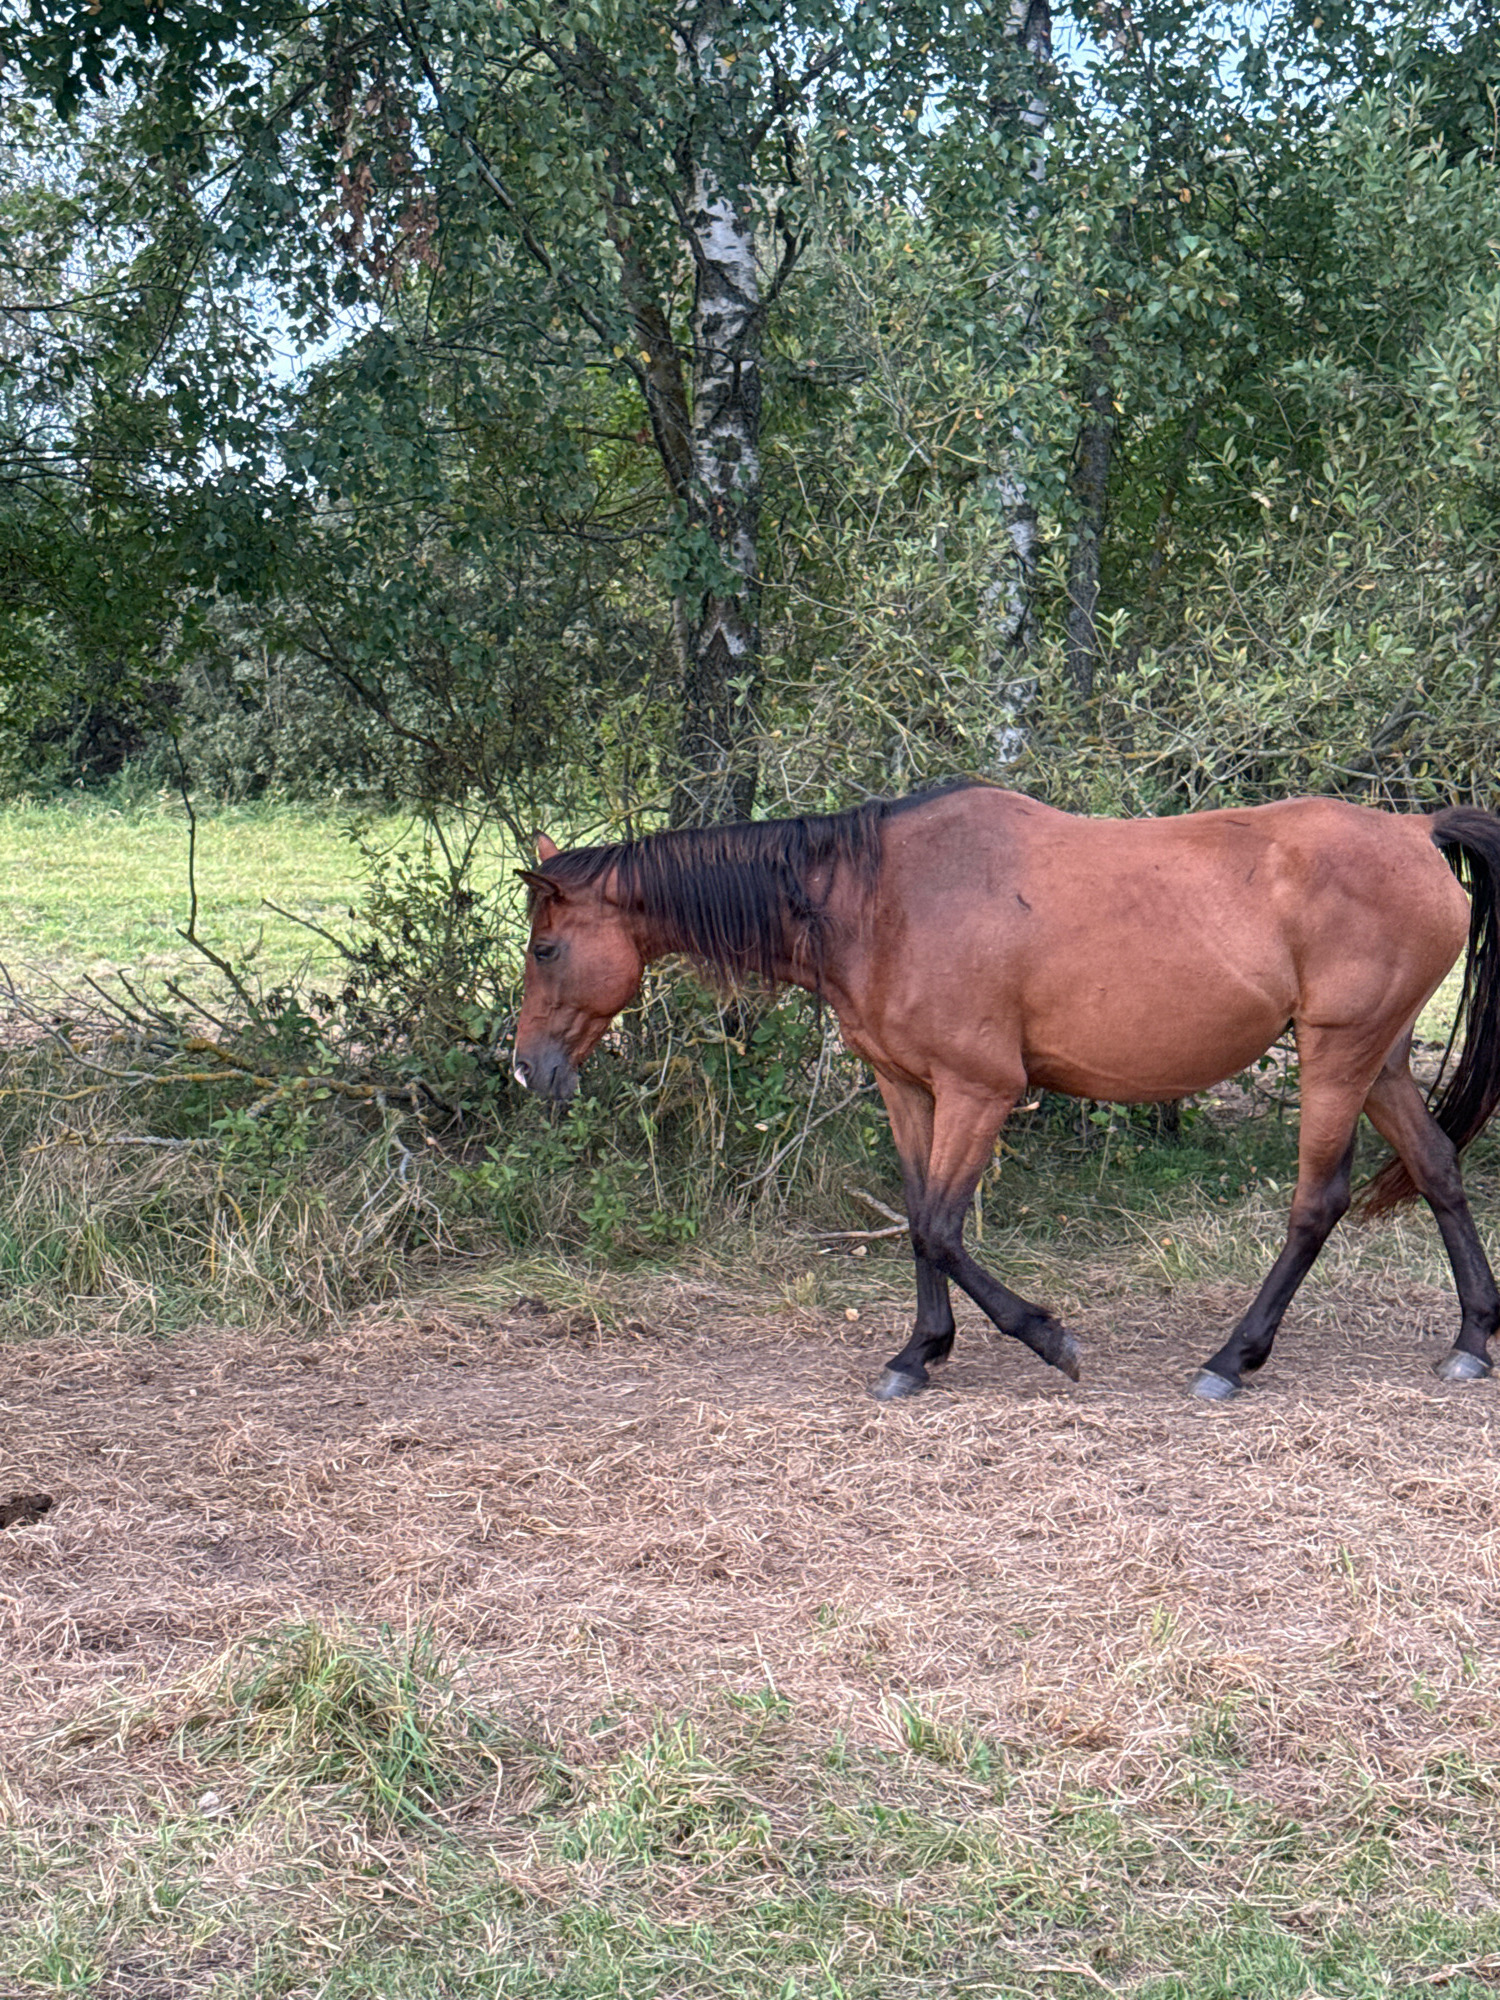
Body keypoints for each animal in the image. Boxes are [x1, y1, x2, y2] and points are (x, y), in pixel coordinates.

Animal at [511, 783, 1500, 1403]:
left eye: (546, 948)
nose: (526, 1069)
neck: (881, 898)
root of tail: (1415, 832)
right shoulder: (909, 1090)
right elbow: (918, 1219)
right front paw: (919, 1353)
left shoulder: (979, 1091)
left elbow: (943, 1229)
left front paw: (1047, 1339)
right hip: (1379, 1060)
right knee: (1438, 1170)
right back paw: (1471, 1340)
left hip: (1338, 1055)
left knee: (1317, 1201)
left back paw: (1231, 1358)